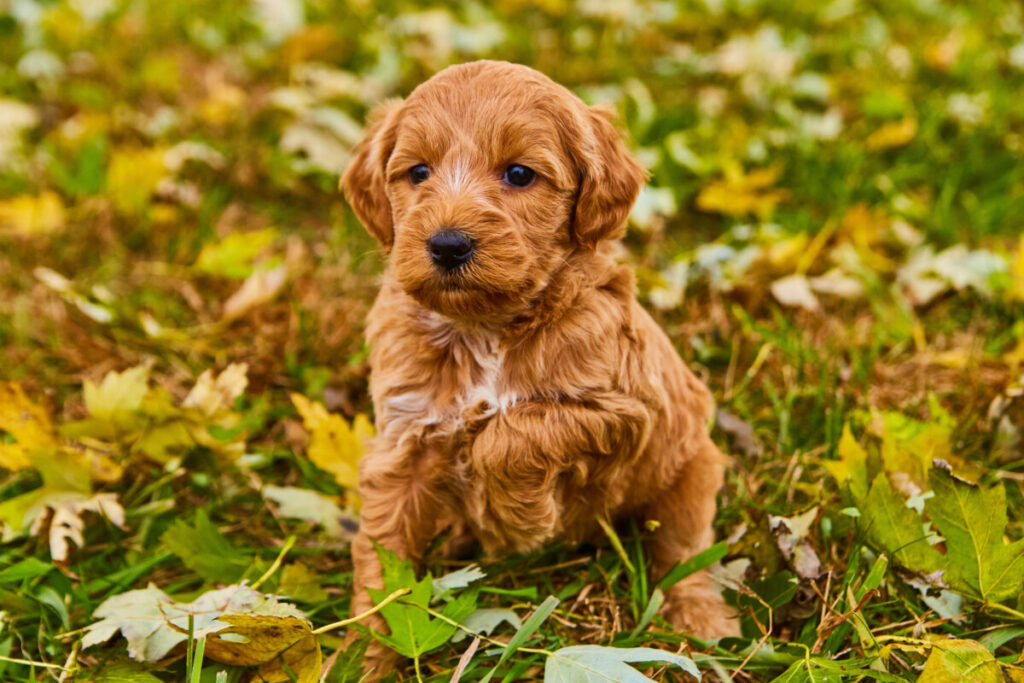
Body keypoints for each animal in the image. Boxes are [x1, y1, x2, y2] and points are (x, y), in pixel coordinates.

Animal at [344, 60, 737, 679]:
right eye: (418, 172)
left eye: (520, 174)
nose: (447, 244)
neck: (485, 329)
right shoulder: (404, 441)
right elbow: (384, 560)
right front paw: (362, 657)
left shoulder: (627, 411)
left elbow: (512, 433)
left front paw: (520, 518)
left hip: (689, 470)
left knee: (684, 552)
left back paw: (701, 621)